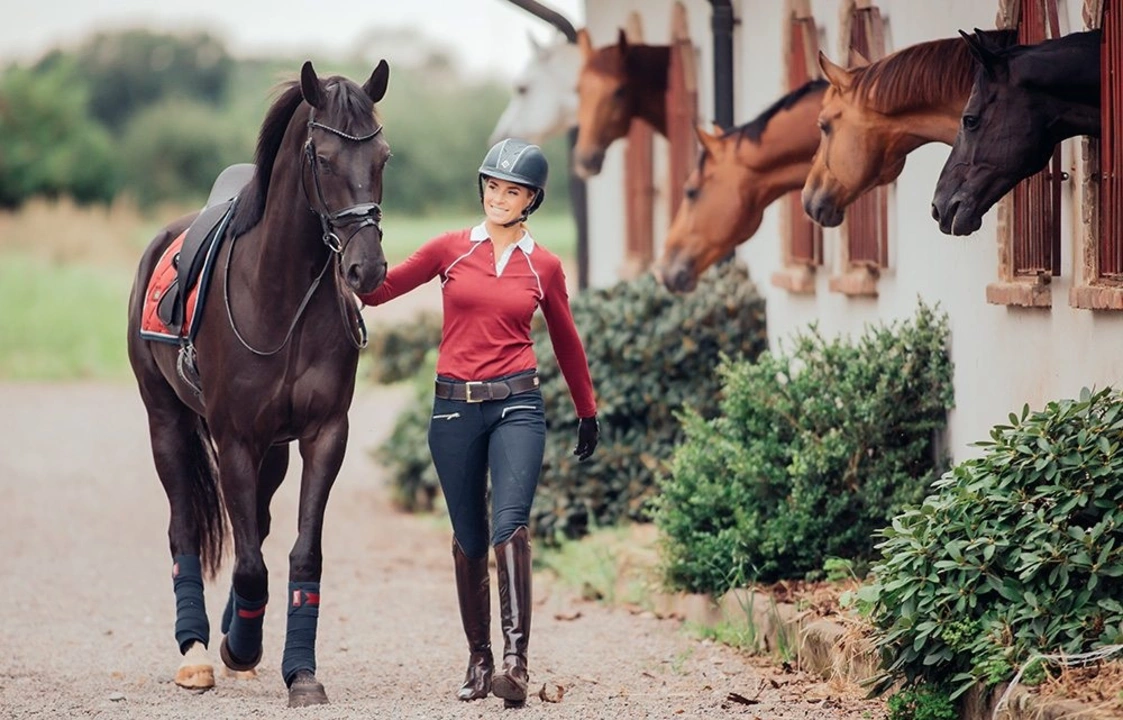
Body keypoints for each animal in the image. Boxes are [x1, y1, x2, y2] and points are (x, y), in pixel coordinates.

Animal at [125, 58, 390, 705]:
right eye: (323, 158)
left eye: (383, 157)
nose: (366, 269)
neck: (280, 295)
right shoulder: (235, 439)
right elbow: (247, 562)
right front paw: (239, 648)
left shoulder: (323, 434)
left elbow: (301, 555)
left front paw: (301, 673)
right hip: (167, 424)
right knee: (184, 530)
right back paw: (198, 652)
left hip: (274, 450)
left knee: (260, 527)